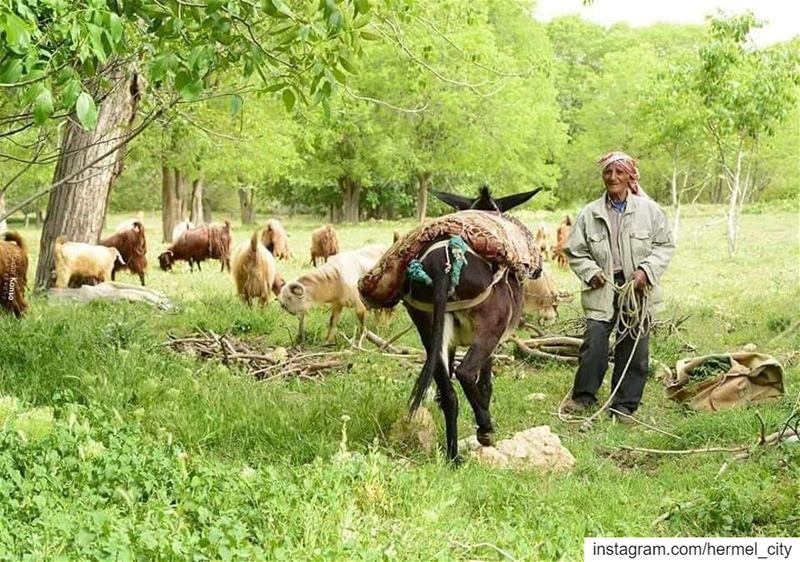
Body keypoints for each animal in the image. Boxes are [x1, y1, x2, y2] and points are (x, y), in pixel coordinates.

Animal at [400, 186, 544, 462]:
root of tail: (442, 265)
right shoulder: (494, 341)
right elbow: (485, 384)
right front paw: (484, 425)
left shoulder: (449, 342)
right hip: (489, 330)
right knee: (466, 372)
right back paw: (485, 429)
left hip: (428, 330)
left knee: (448, 394)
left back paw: (453, 457)